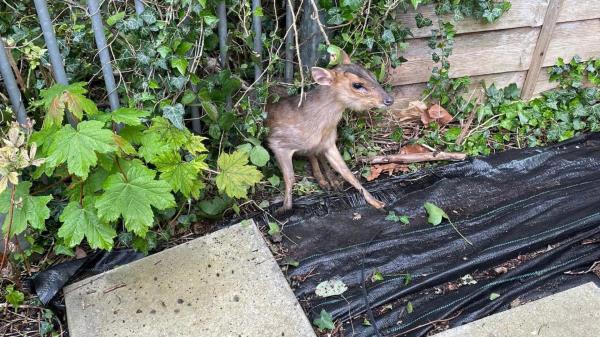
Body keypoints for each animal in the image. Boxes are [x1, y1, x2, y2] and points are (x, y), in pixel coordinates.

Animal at [268, 50, 394, 211]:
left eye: (372, 74)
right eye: (357, 85)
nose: (389, 100)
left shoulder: (329, 142)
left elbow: (346, 171)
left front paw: (375, 201)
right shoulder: (278, 142)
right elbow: (290, 177)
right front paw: (284, 208)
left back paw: (330, 181)